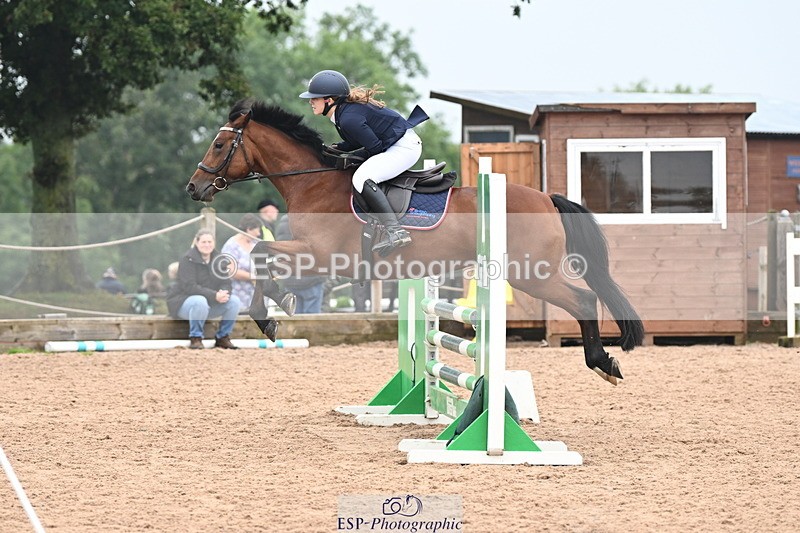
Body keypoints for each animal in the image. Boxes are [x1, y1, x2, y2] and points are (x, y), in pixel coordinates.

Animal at [186, 99, 644, 385]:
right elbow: (262, 257)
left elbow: (262, 253)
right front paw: (277, 306)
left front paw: (272, 312)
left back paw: (602, 363)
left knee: (583, 299)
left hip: (531, 273)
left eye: (220, 144)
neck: (312, 184)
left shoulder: (324, 257)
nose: (194, 188)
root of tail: (546, 197)